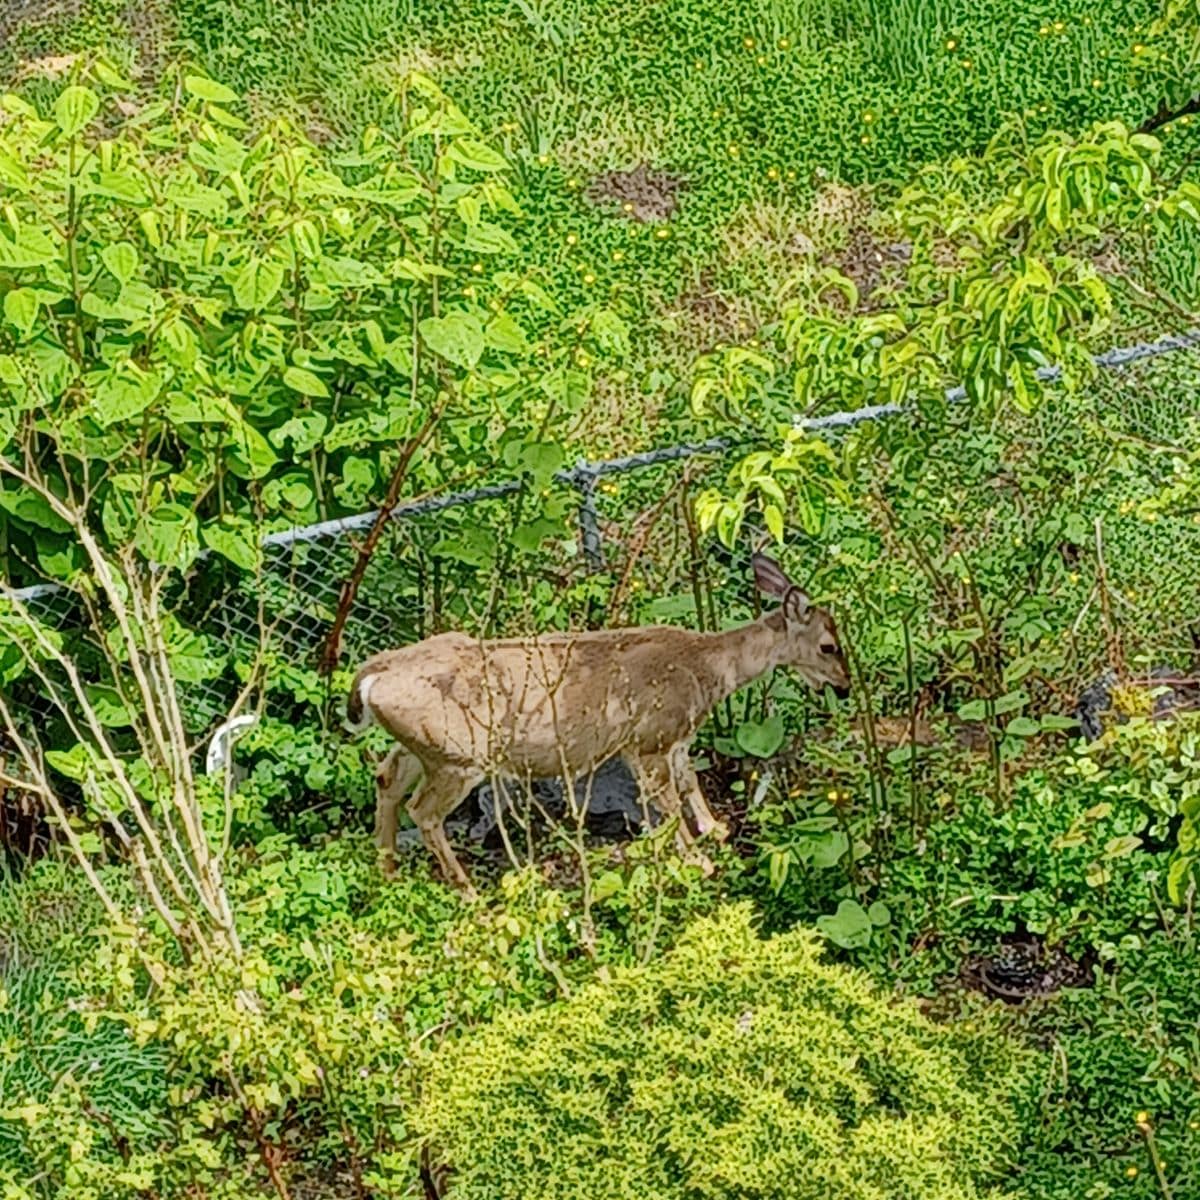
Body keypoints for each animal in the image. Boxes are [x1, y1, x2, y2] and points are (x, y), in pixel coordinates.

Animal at [348, 552, 854, 892]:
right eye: (829, 645)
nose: (846, 686)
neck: (706, 669)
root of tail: (372, 678)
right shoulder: (649, 738)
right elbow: (669, 804)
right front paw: (700, 862)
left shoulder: (673, 740)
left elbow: (690, 785)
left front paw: (716, 830)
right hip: (459, 753)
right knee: (423, 811)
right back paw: (469, 891)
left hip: (423, 748)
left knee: (386, 779)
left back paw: (387, 872)